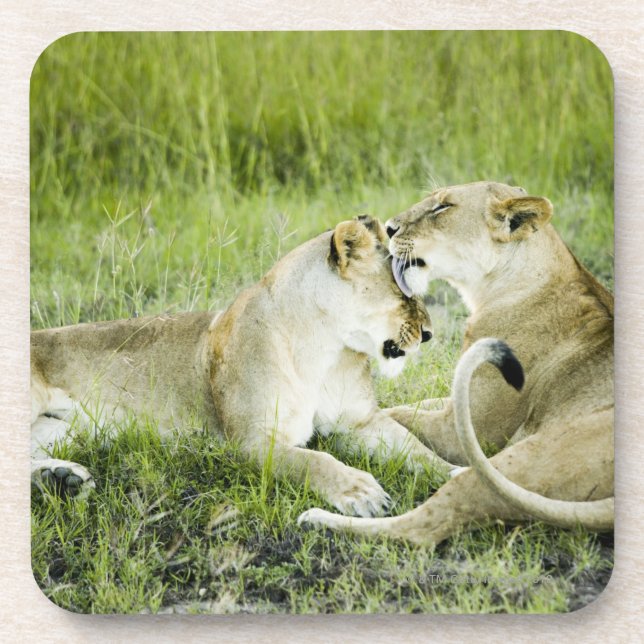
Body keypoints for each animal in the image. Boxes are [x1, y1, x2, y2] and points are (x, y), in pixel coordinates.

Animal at [31, 215, 453, 516]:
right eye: (405, 294)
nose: (429, 334)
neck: (325, 349)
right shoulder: (252, 440)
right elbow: (311, 460)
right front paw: (359, 490)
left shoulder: (360, 422)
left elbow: (416, 449)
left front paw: (457, 475)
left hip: (63, 430)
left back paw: (61, 479)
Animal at [298, 181, 614, 543]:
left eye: (443, 207)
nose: (389, 227)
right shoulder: (453, 403)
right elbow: (409, 407)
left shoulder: (465, 431)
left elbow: (397, 415)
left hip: (517, 462)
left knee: (421, 529)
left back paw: (318, 520)